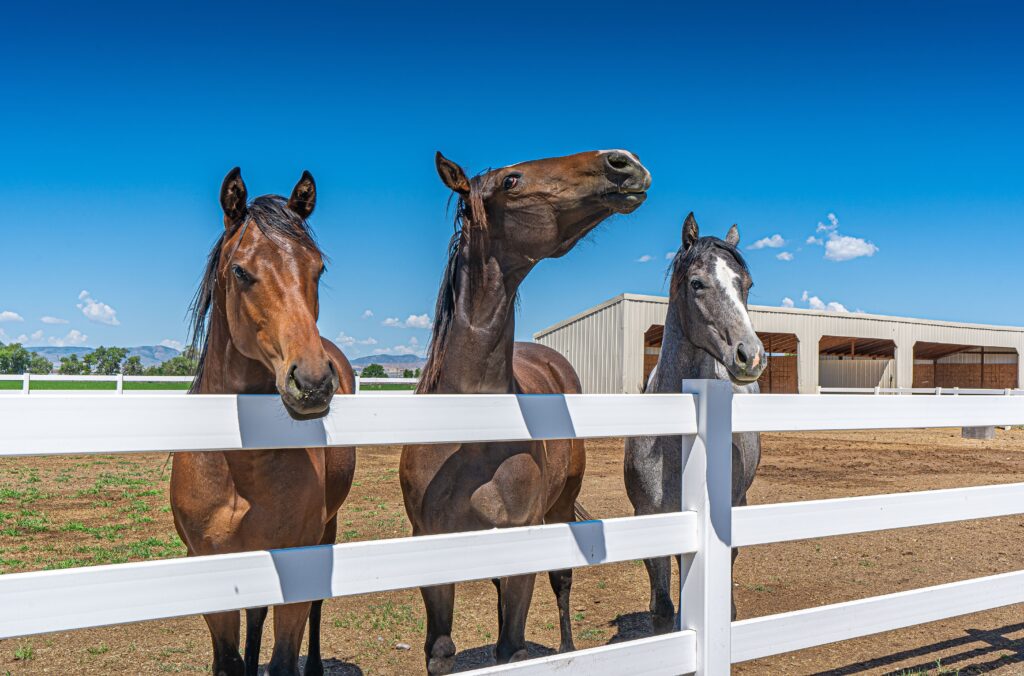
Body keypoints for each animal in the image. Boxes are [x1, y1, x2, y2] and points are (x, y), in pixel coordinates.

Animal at [171, 169, 356, 676]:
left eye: (318, 269)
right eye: (240, 271)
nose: (313, 382)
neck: (241, 466)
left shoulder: (296, 559)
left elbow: (284, 655)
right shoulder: (211, 569)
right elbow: (230, 660)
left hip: (326, 529)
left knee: (315, 608)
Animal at [399, 150, 647, 671]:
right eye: (511, 181)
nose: (623, 162)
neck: (470, 441)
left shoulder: (525, 540)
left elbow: (512, 648)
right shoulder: (430, 548)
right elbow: (441, 651)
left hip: (558, 509)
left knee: (561, 580)